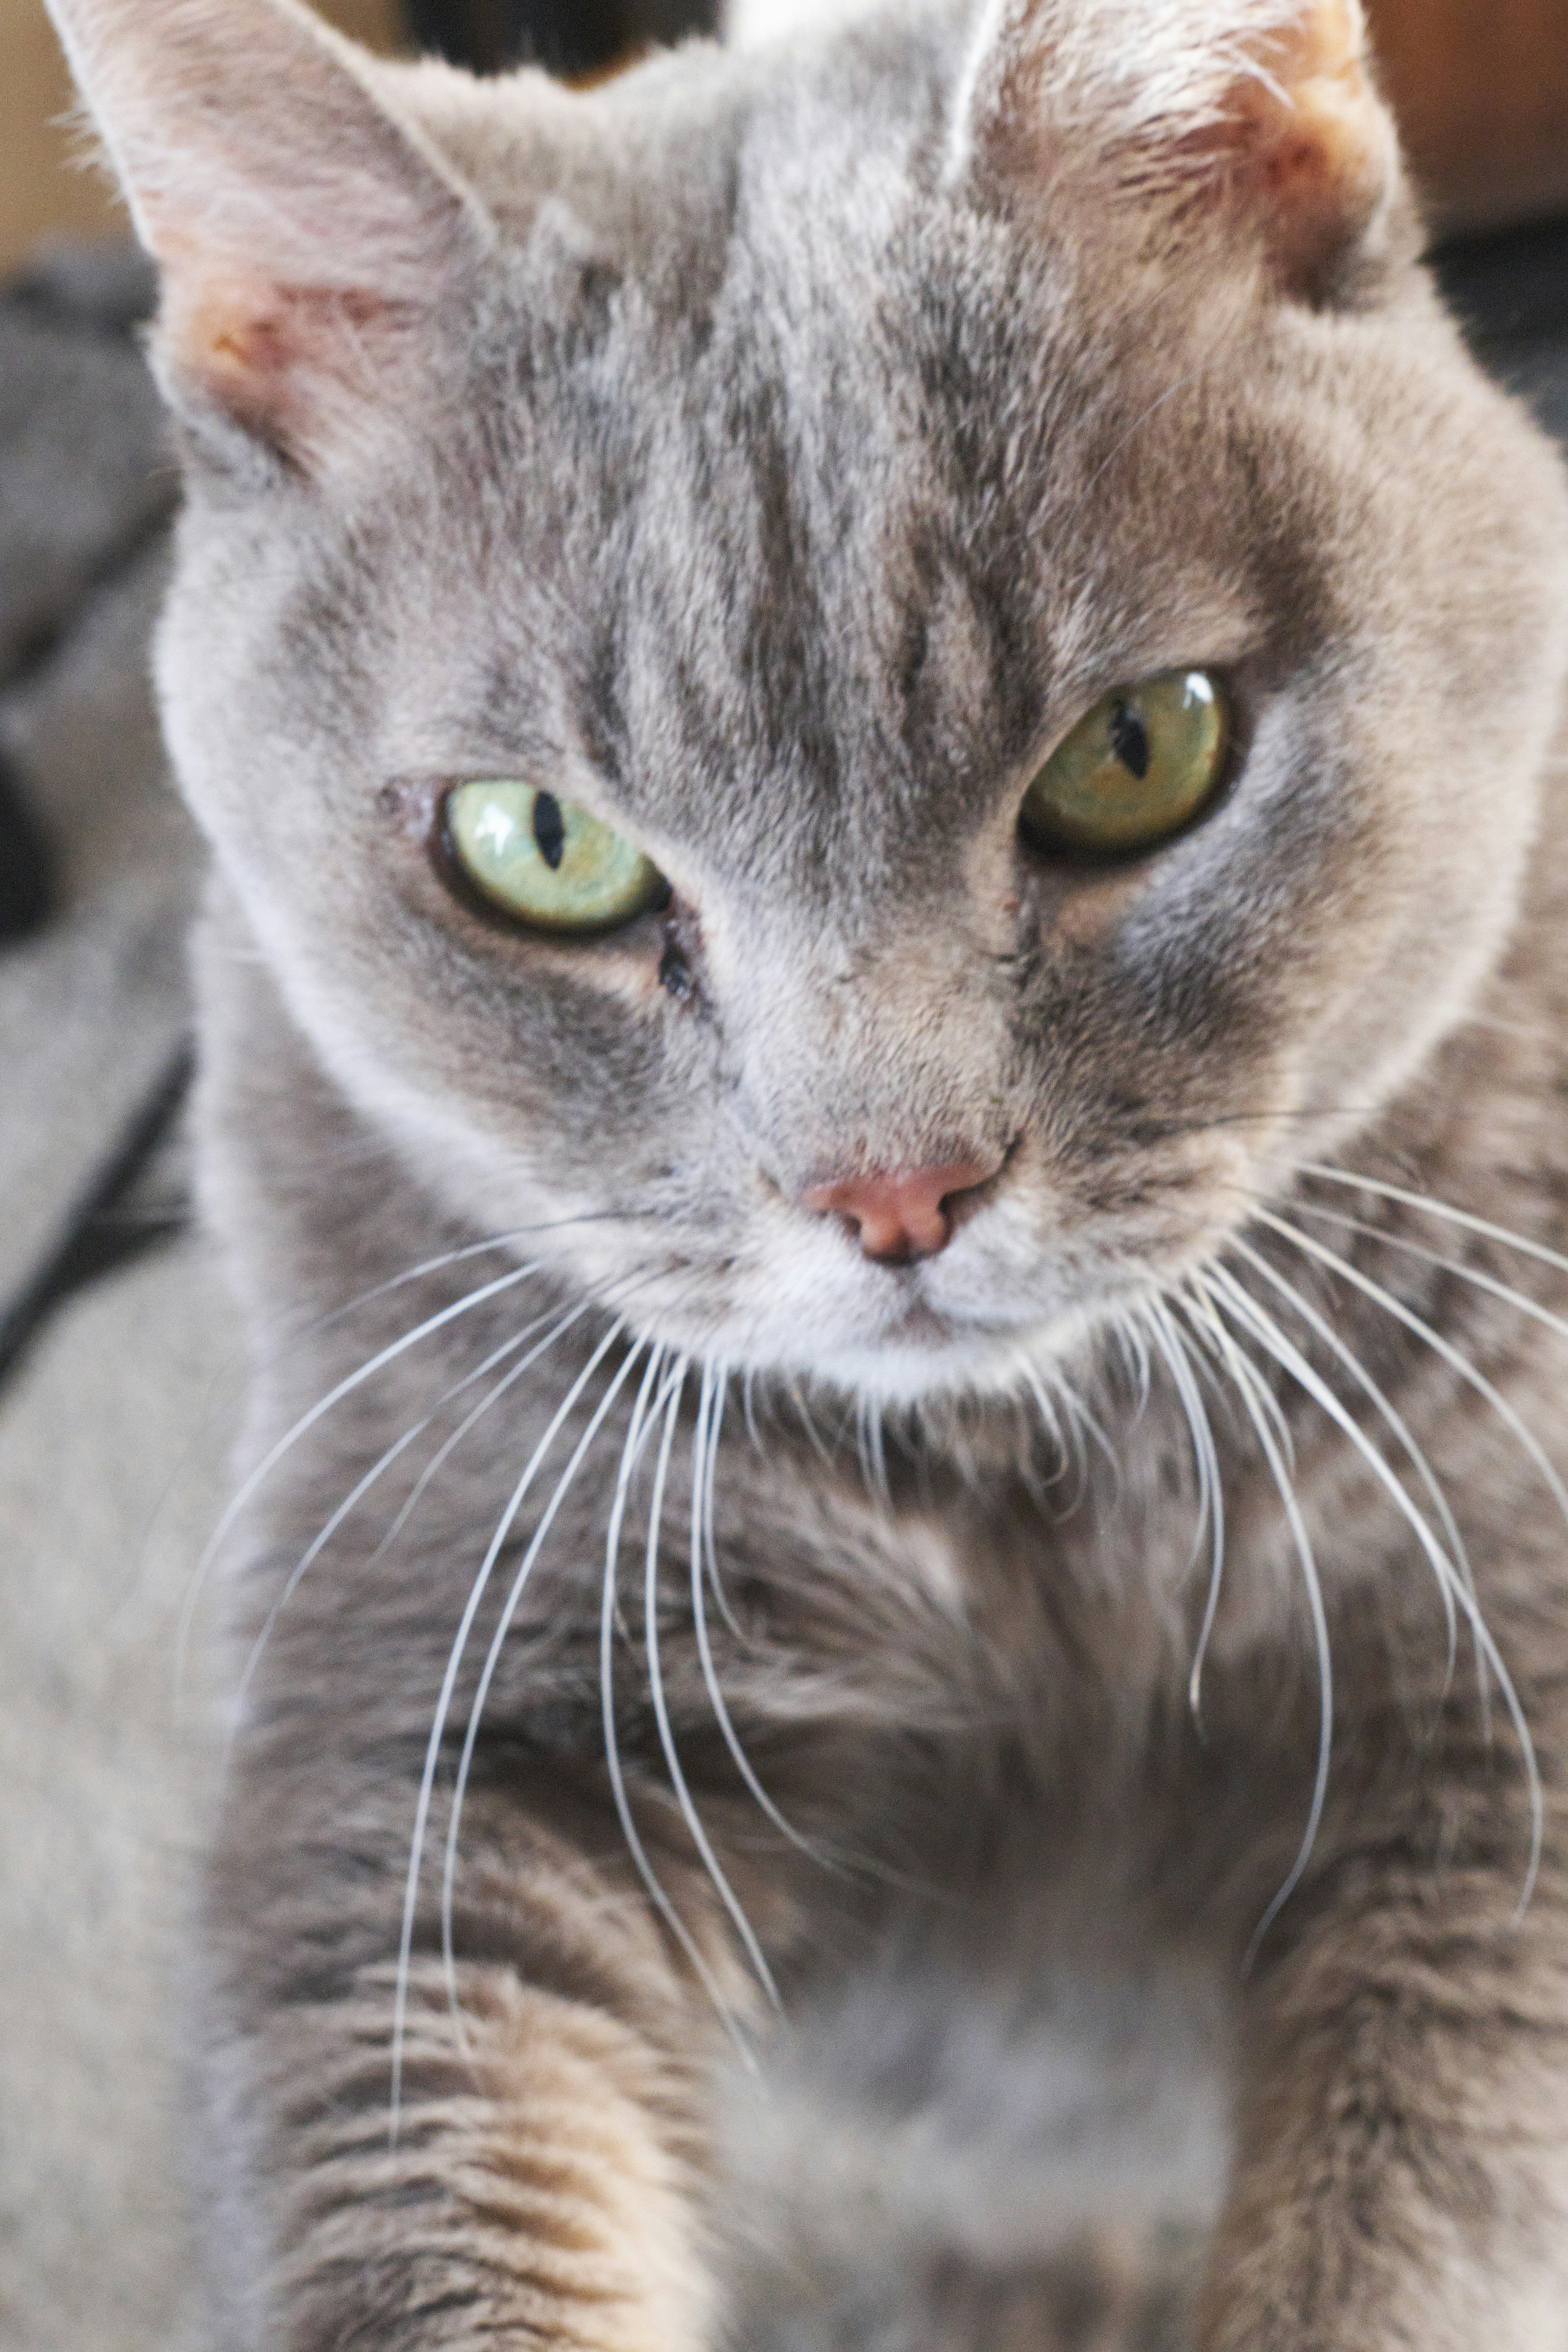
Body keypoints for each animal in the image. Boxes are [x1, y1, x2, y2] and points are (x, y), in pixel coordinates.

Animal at [40, 0, 1568, 2342]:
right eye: (540, 844)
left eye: (1142, 749)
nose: (898, 1192)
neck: (1024, 1507)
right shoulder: (429, 1705)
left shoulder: (1507, 1703)